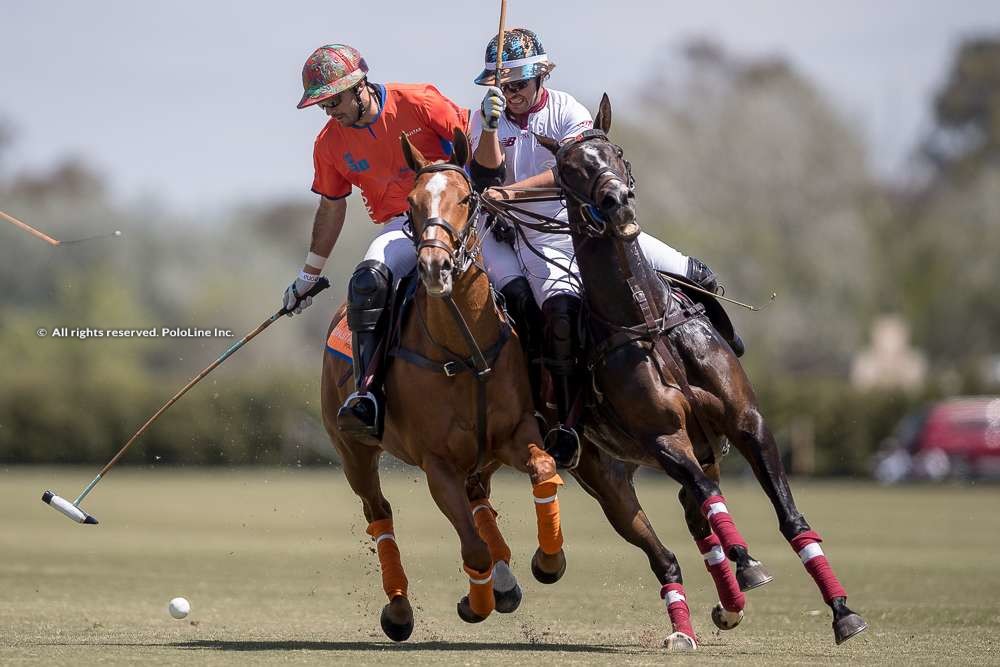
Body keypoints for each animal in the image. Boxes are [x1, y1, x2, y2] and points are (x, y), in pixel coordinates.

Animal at [322, 126, 568, 640]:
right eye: (411, 202)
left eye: (467, 198)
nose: (435, 267)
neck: (466, 350)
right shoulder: (436, 464)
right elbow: (472, 548)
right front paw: (476, 603)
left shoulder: (516, 433)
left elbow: (543, 468)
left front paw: (548, 560)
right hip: (352, 450)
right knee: (379, 513)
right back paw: (400, 610)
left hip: (483, 458)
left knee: (481, 503)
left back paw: (507, 583)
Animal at [536, 94, 872, 648]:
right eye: (567, 170)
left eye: (615, 151)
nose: (617, 202)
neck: (647, 319)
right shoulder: (664, 440)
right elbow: (711, 498)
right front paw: (750, 565)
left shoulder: (747, 422)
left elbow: (790, 516)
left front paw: (843, 610)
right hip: (607, 475)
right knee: (673, 540)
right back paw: (705, 609)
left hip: (695, 451)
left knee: (696, 518)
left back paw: (728, 601)